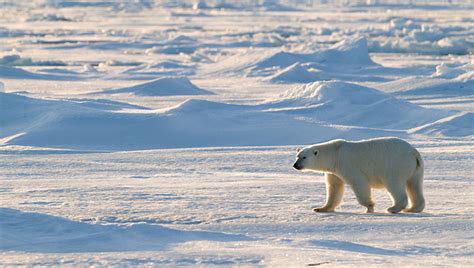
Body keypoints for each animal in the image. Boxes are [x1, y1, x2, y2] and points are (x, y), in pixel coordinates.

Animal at [292, 138, 426, 214]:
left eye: (304, 157)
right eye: (297, 156)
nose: (295, 165)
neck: (334, 153)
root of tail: (413, 152)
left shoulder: (347, 164)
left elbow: (359, 183)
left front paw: (370, 206)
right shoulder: (333, 172)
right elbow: (334, 188)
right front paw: (320, 208)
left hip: (395, 165)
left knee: (394, 184)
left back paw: (392, 208)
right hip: (416, 169)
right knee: (414, 185)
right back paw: (413, 208)